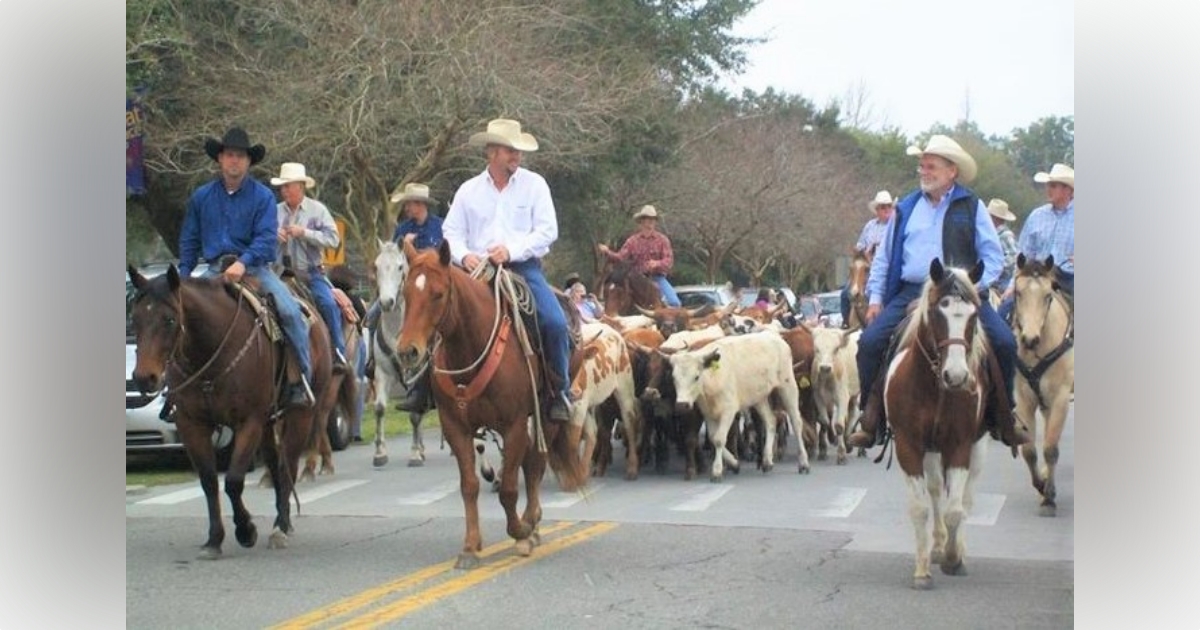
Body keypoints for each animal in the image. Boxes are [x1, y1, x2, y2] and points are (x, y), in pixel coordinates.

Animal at [126, 262, 338, 556]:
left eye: (169, 320)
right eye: (135, 319)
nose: (144, 378)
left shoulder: (249, 421)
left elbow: (234, 480)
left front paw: (246, 530)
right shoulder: (191, 424)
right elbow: (209, 481)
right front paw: (214, 539)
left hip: (301, 414)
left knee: (289, 466)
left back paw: (281, 527)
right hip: (269, 423)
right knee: (275, 466)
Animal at [374, 238, 436, 463]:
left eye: (400, 267)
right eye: (376, 266)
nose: (386, 302)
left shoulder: (417, 374)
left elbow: (415, 414)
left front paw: (415, 453)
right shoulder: (382, 372)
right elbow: (380, 408)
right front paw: (380, 452)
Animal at [393, 240, 585, 564]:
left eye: (438, 294)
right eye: (406, 293)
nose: (408, 351)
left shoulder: (514, 424)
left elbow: (509, 488)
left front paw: (520, 532)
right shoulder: (455, 427)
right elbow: (469, 486)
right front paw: (471, 546)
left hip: (547, 415)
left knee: (535, 464)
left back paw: (531, 524)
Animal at [667, 331, 816, 480]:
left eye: (696, 377)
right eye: (674, 378)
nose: (682, 405)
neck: (713, 377)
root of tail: (775, 337)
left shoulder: (728, 411)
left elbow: (719, 439)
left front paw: (717, 471)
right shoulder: (708, 413)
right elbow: (713, 438)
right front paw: (734, 463)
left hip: (788, 387)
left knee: (796, 422)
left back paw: (803, 463)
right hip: (759, 399)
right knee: (771, 421)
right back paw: (767, 461)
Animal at [883, 256, 993, 590]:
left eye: (974, 315)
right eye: (936, 313)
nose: (956, 376)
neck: (934, 387)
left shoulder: (959, 445)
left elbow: (956, 510)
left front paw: (953, 558)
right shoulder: (908, 446)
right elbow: (920, 508)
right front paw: (922, 571)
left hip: (977, 448)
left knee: (966, 499)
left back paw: (956, 549)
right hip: (930, 451)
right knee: (933, 490)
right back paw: (937, 545)